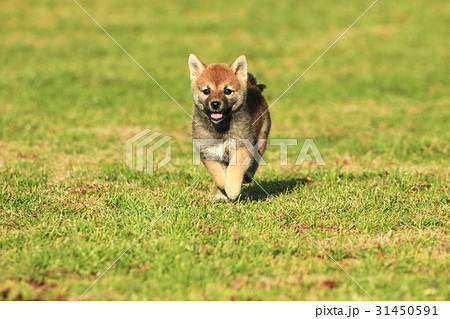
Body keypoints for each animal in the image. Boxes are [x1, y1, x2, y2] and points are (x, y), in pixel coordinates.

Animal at [189, 54, 270, 200]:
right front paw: (224, 190)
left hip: (261, 137)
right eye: (206, 91)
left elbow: (234, 170)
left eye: (227, 91)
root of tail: (254, 86)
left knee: (255, 160)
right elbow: (219, 175)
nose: (215, 103)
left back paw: (247, 175)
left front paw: (232, 189)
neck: (220, 129)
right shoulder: (209, 153)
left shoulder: (241, 147)